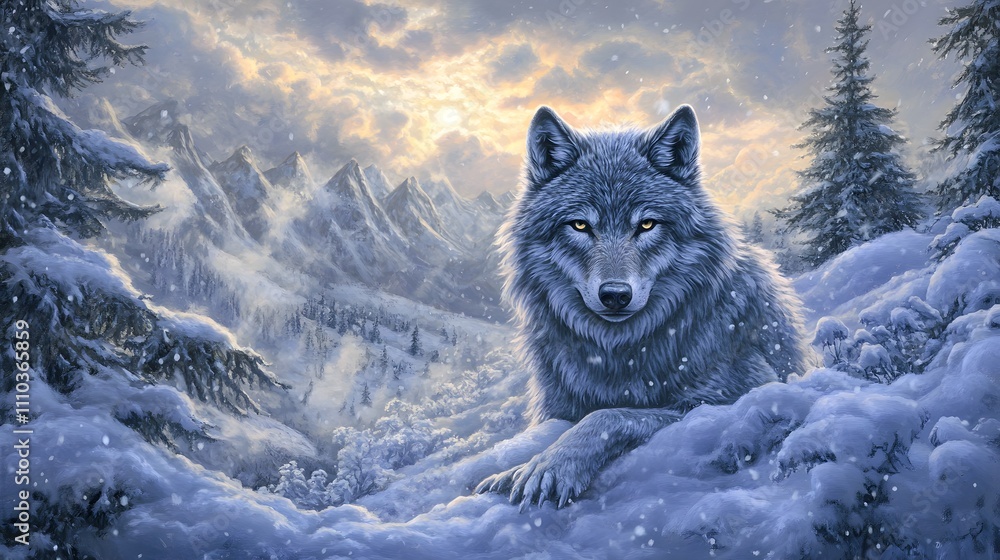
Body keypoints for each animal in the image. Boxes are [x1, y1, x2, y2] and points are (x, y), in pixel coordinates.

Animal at [475, 105, 809, 509]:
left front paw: (549, 466)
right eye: (580, 225)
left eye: (647, 224)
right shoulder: (555, 409)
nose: (615, 295)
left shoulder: (737, 395)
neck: (620, 352)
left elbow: (608, 416)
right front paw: (509, 472)